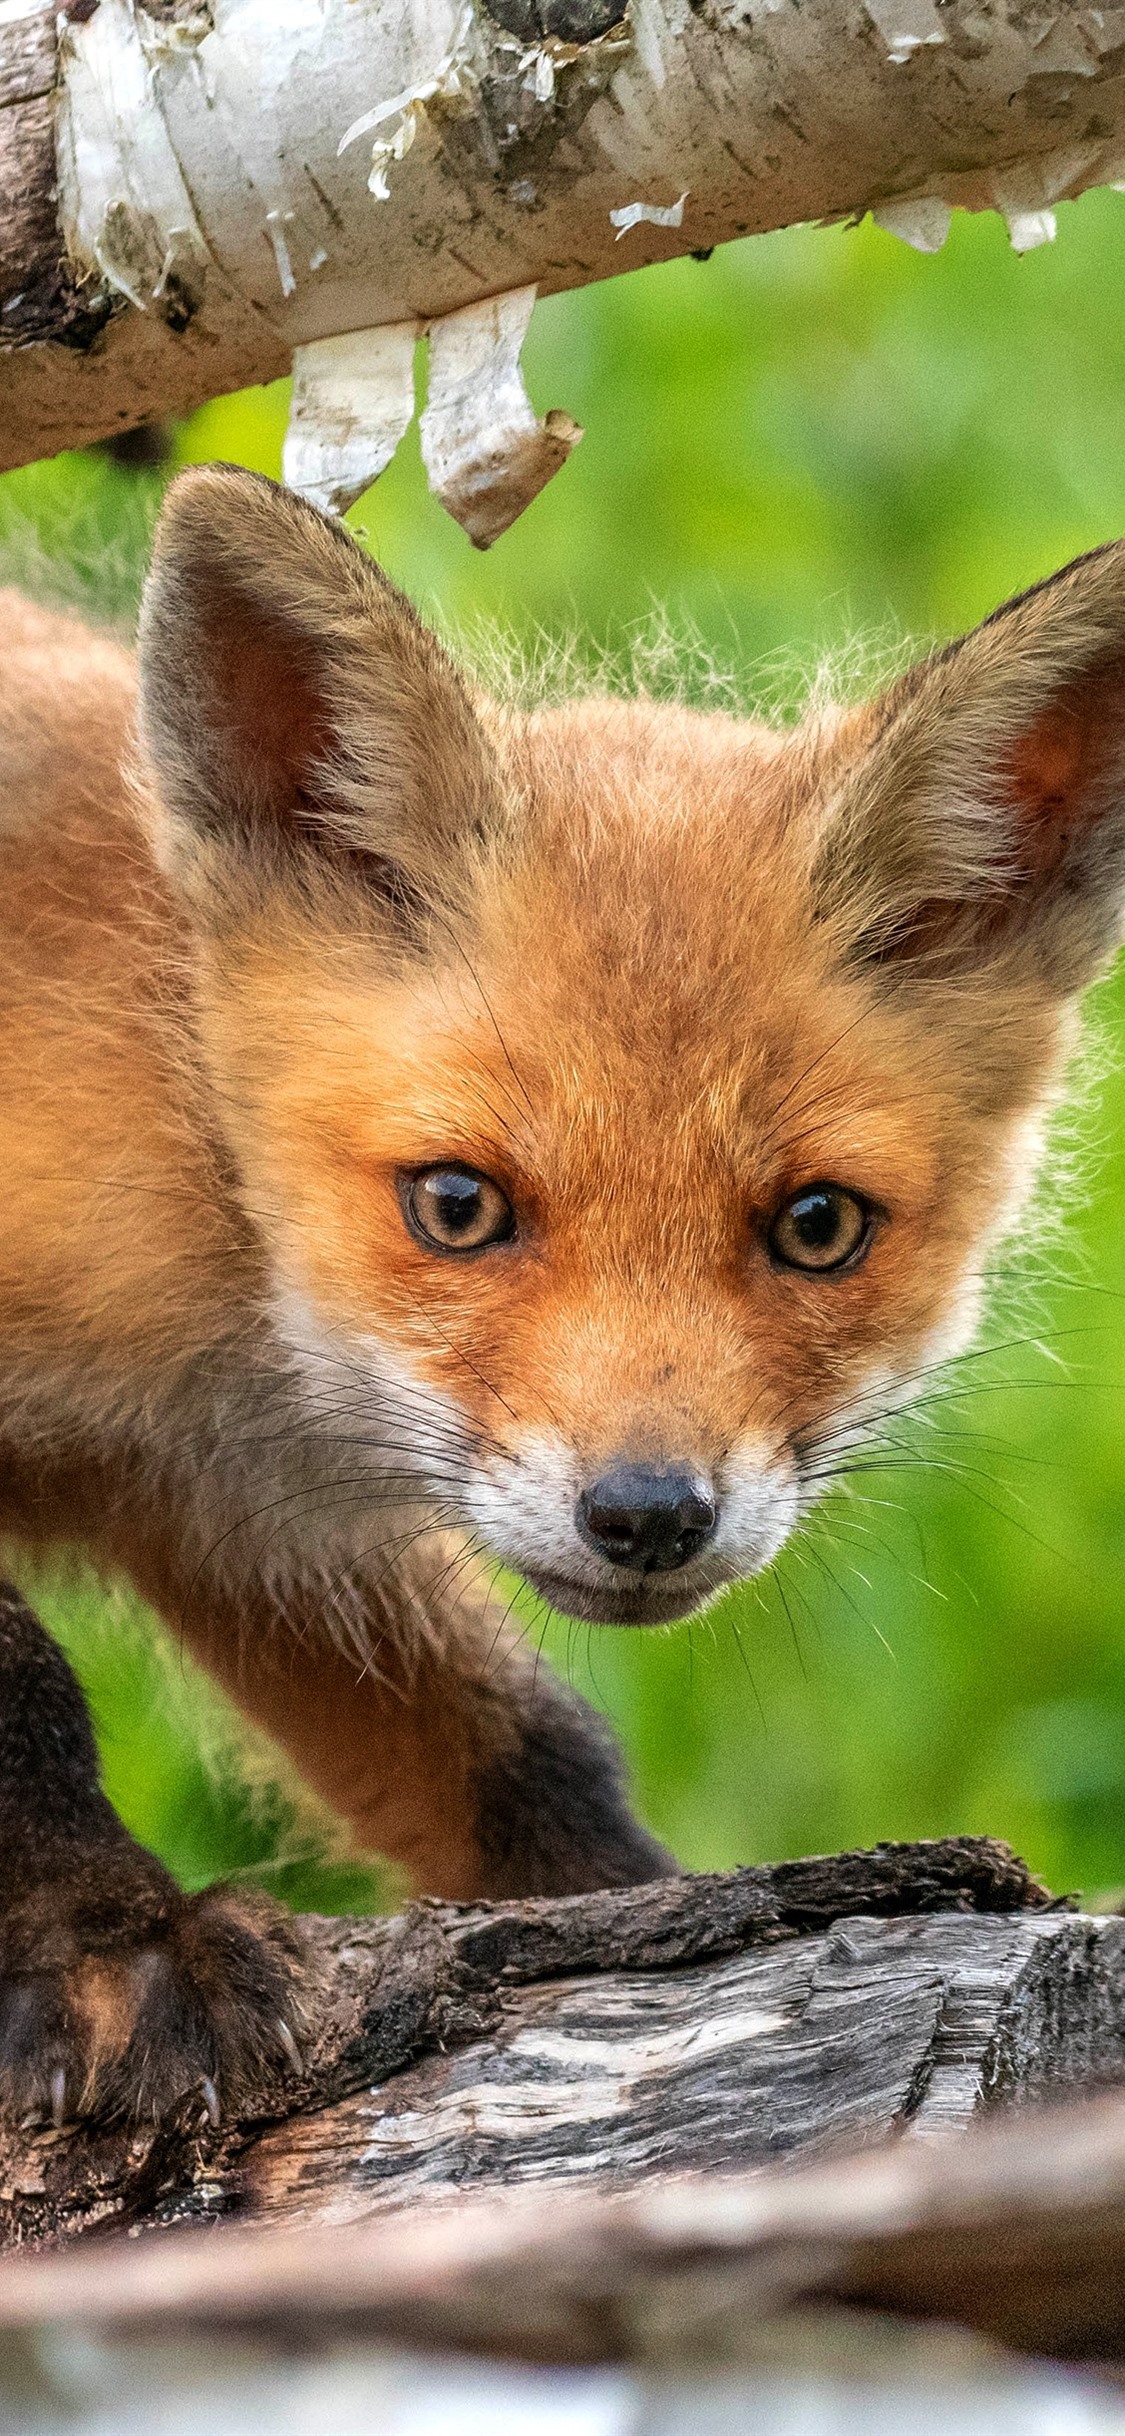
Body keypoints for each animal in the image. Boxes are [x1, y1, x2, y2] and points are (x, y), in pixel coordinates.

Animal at [1, 462, 1124, 2130]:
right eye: (458, 1206)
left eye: (816, 1228)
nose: (650, 1517)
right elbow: (20, 1689)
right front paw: (112, 1939)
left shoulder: (230, 1518)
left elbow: (528, 1762)